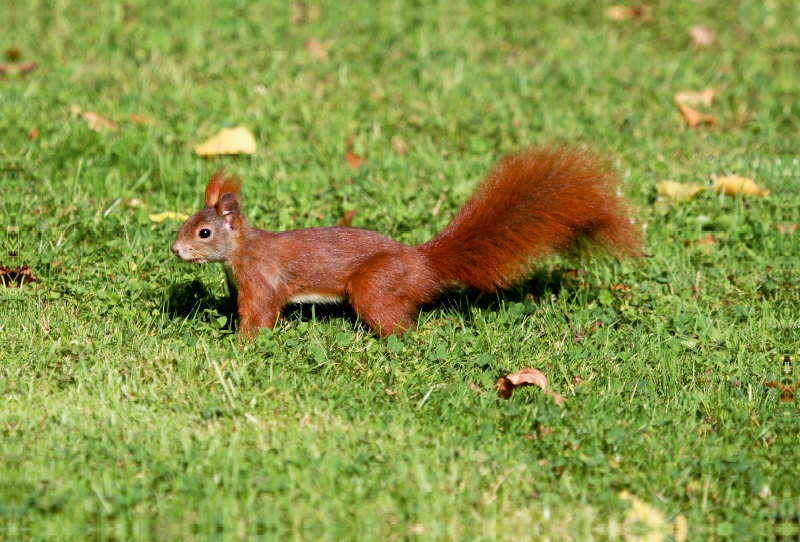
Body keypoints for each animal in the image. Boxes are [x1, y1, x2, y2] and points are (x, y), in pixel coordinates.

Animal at [172, 147, 640, 338]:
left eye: (204, 233)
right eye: (187, 223)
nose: (175, 250)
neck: (242, 252)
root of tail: (422, 265)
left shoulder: (262, 282)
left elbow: (260, 316)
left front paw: (240, 346)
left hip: (372, 285)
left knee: (401, 325)